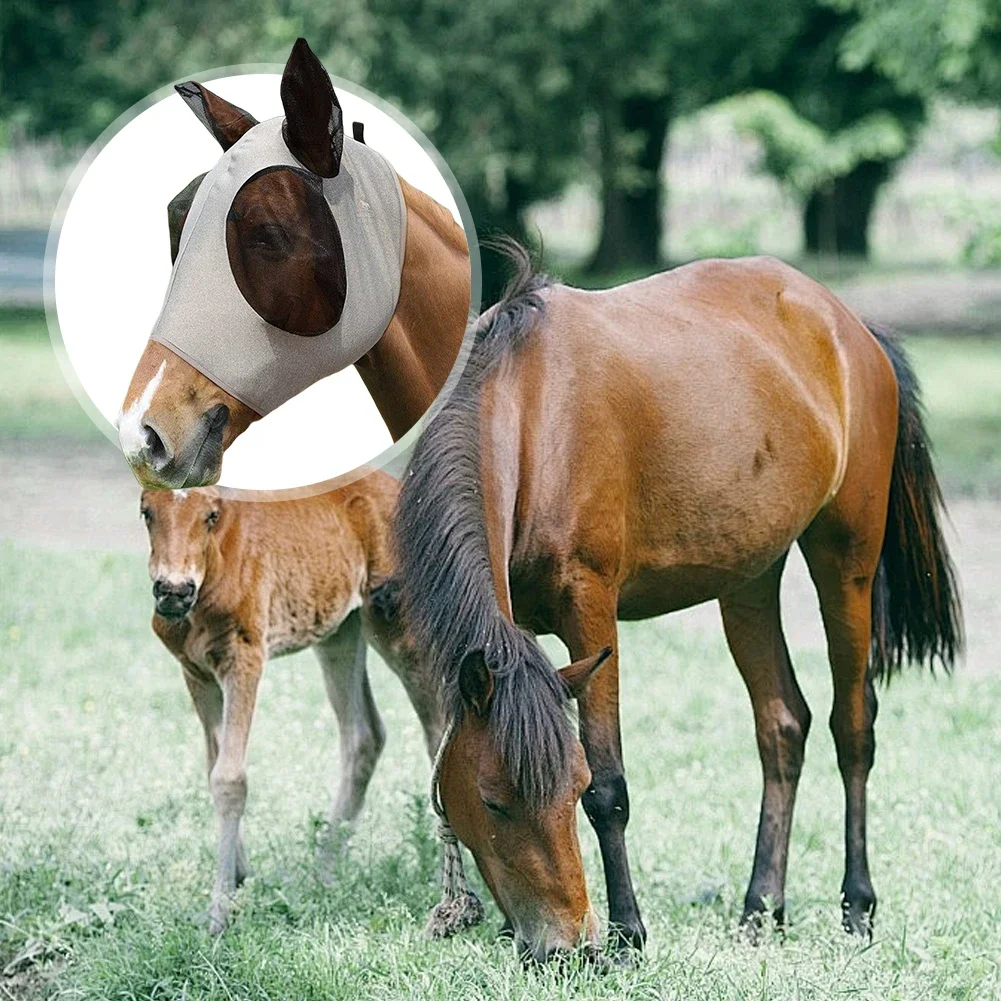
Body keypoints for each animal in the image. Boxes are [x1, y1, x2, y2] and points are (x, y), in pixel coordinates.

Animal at [142, 469, 444, 933]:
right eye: (147, 512)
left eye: (210, 515)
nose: (173, 590)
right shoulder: (196, 672)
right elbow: (213, 766)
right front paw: (239, 878)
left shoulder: (245, 657)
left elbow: (230, 778)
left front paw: (219, 912)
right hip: (341, 632)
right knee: (365, 736)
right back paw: (325, 871)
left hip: (397, 627)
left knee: (436, 731)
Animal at [394, 243, 962, 963]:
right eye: (492, 802)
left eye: (571, 788)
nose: (562, 947)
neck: (531, 414)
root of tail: (851, 327)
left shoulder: (590, 608)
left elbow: (611, 784)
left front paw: (628, 934)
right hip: (748, 578)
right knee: (783, 726)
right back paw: (760, 908)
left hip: (846, 560)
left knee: (852, 726)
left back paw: (856, 906)